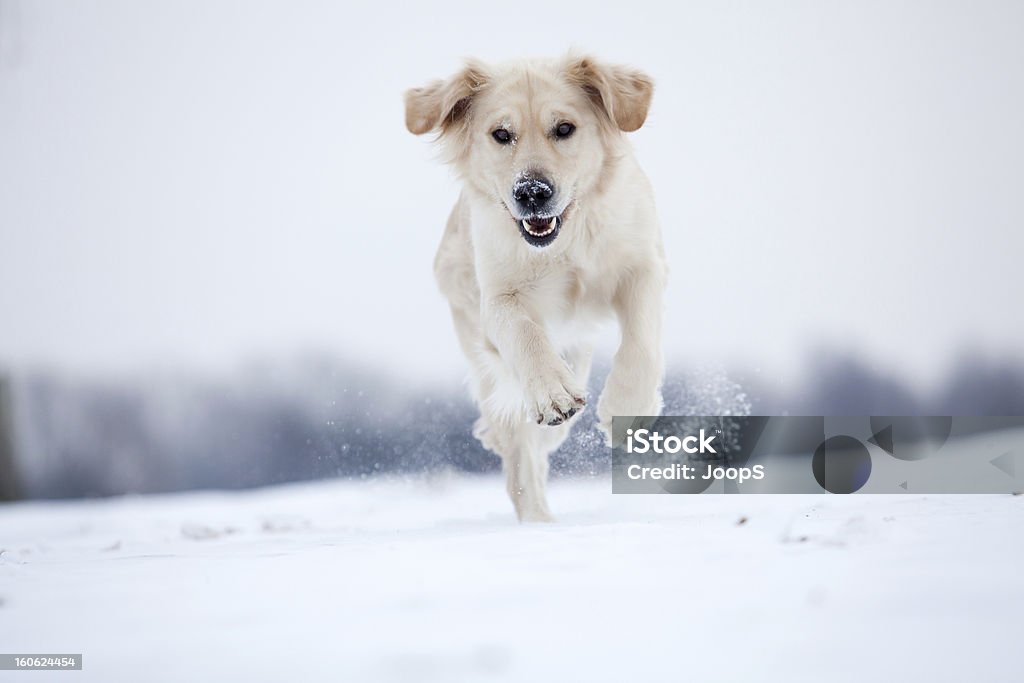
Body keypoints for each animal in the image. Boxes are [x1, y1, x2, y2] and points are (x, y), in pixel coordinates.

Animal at [403, 54, 667, 524]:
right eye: (501, 134)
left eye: (564, 128)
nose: (532, 192)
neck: (566, 240)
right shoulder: (498, 298)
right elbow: (524, 333)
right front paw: (552, 394)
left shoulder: (642, 264)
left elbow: (641, 341)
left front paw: (627, 408)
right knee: (521, 462)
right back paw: (538, 523)